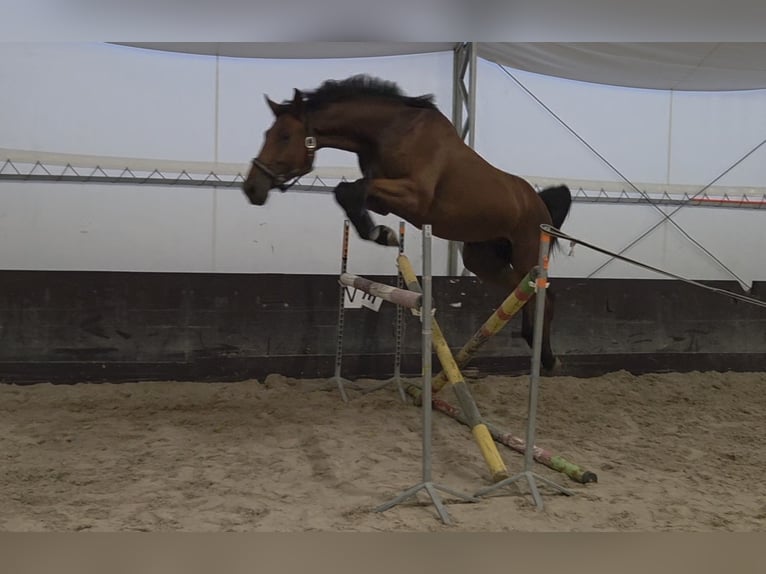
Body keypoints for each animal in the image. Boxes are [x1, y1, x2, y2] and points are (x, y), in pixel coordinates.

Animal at [243, 75, 572, 373]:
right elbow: (348, 192)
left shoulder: (415, 198)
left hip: (527, 251)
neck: (392, 131)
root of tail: (539, 204)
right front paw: (381, 233)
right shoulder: (384, 200)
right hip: (483, 258)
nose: (251, 188)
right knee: (522, 291)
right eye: (268, 133)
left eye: (285, 136)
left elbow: (351, 189)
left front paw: (382, 234)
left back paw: (548, 358)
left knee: (547, 296)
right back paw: (534, 343)